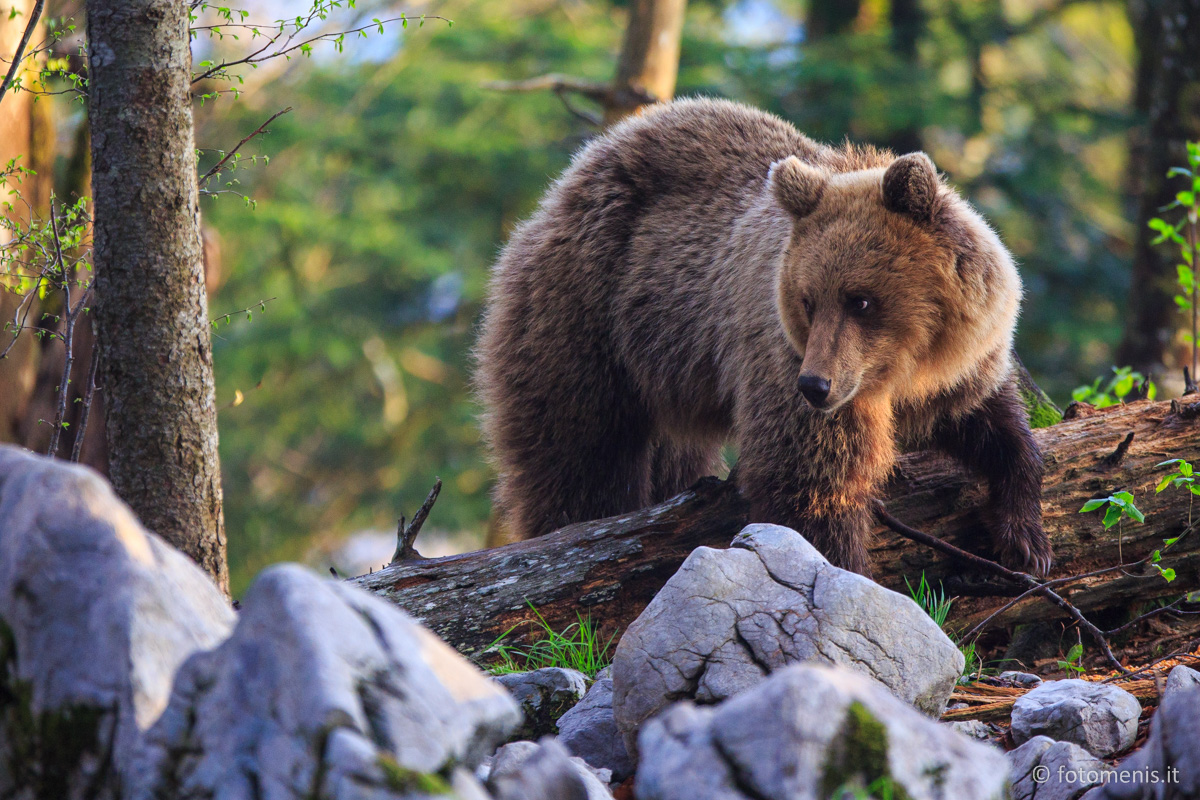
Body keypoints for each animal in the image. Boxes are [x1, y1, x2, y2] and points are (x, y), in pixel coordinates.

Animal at [475, 98, 1051, 575]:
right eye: (807, 300)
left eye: (861, 300)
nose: (815, 386)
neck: (903, 370)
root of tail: (569, 181)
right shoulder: (785, 360)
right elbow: (811, 482)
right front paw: (844, 568)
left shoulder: (961, 365)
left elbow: (991, 423)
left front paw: (1025, 539)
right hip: (588, 313)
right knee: (579, 449)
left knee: (668, 454)